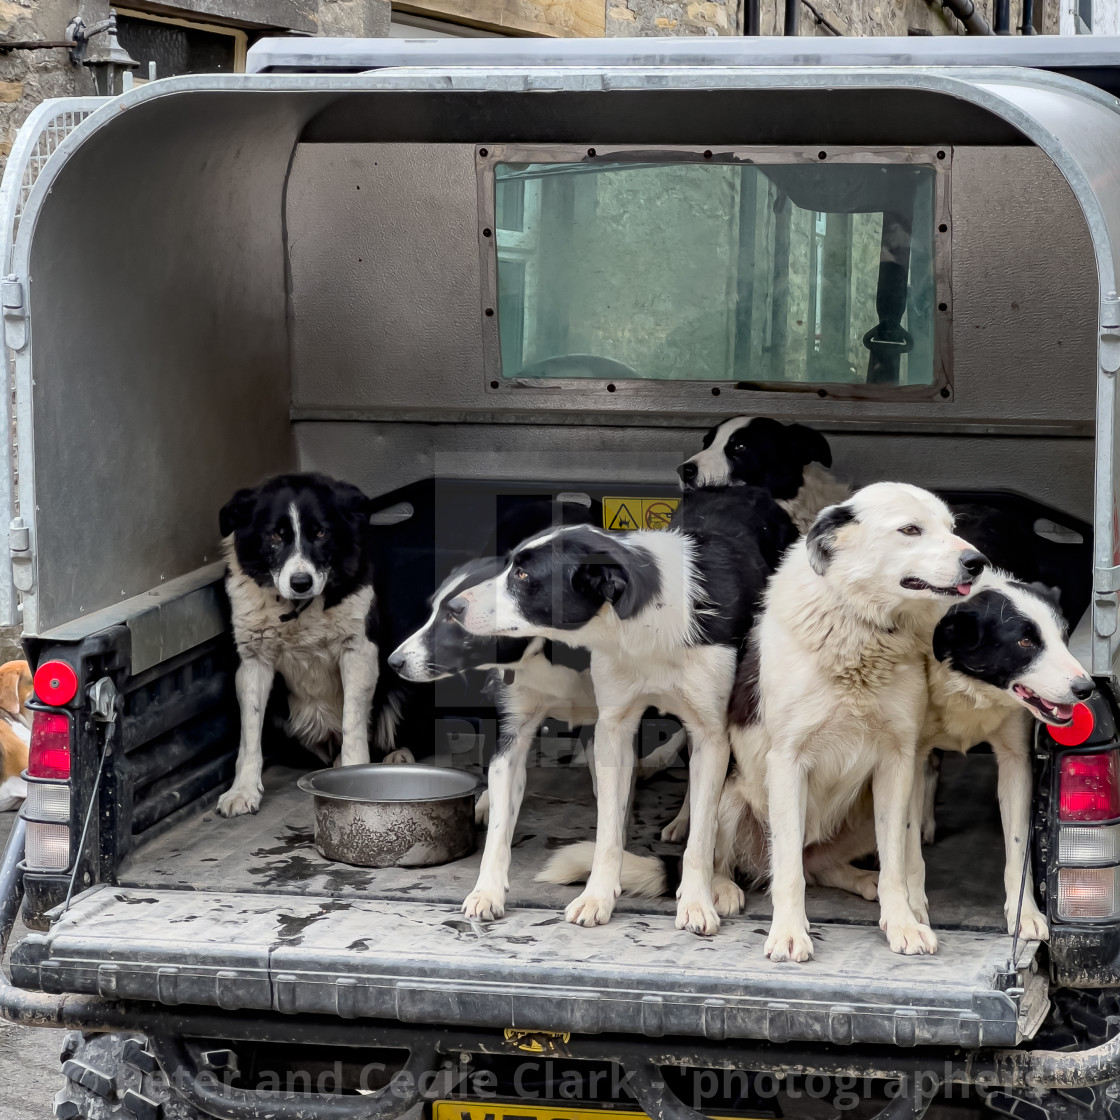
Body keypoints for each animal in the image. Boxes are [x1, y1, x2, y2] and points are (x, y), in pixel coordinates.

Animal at [216, 477, 414, 819]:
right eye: (274, 535)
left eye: (321, 533)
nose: (301, 582)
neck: (298, 608)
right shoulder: (253, 660)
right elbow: (250, 734)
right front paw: (242, 791)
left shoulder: (359, 650)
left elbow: (353, 725)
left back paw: (396, 757)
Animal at [387, 555, 680, 922]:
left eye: (453, 616)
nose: (394, 661)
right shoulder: (512, 731)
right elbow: (500, 824)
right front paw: (487, 891)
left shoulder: (614, 724)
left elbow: (613, 808)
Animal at [445, 486, 797, 931]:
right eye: (509, 564)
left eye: (523, 576)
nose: (455, 606)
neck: (644, 627)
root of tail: (741, 487)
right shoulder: (612, 728)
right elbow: (607, 833)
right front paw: (596, 896)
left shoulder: (712, 732)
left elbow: (702, 838)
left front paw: (696, 901)